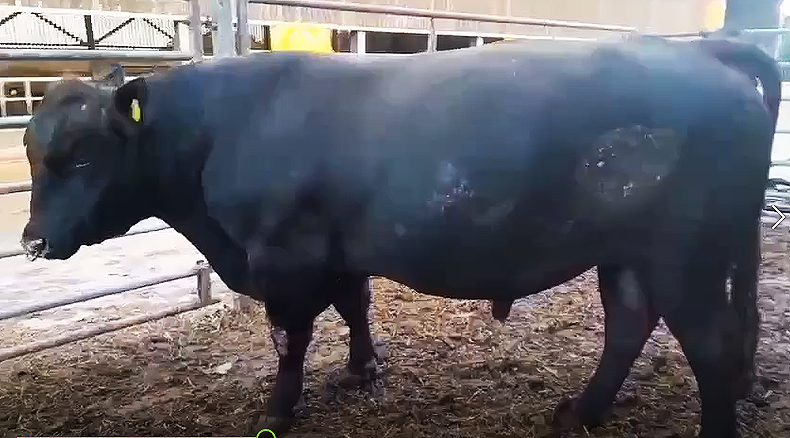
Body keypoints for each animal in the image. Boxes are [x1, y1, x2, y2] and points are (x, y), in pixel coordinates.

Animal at [19, 36, 779, 438]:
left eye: (80, 156)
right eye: (30, 147)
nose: (31, 242)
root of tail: (703, 52)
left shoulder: (284, 258)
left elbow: (289, 340)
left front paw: (277, 411)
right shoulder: (338, 250)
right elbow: (355, 306)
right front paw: (362, 369)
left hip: (685, 255)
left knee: (709, 346)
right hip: (627, 253)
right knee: (630, 323)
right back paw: (579, 413)